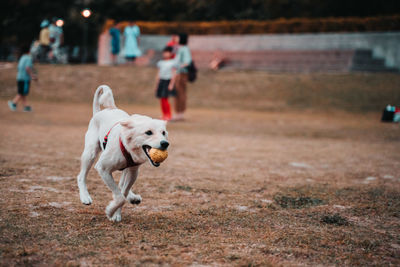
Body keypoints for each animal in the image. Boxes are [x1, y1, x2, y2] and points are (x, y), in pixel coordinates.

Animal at [77, 85, 169, 222]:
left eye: (163, 133)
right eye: (148, 132)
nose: (165, 143)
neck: (128, 146)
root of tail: (101, 111)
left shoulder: (133, 172)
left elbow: (123, 194)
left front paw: (116, 213)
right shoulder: (103, 168)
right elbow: (120, 197)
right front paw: (110, 211)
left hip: (127, 169)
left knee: (122, 185)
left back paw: (133, 197)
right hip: (90, 153)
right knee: (81, 176)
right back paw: (85, 197)